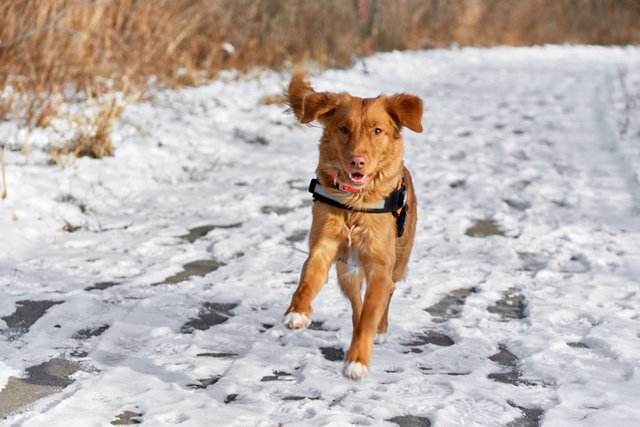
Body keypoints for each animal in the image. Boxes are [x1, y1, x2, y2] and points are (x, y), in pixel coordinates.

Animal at [282, 71, 422, 382]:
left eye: (377, 131)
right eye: (344, 129)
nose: (357, 160)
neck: (356, 203)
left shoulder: (381, 267)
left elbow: (372, 312)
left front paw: (358, 360)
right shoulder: (323, 248)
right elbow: (307, 282)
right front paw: (297, 313)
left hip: (399, 261)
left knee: (386, 296)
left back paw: (379, 330)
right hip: (346, 271)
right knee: (356, 304)